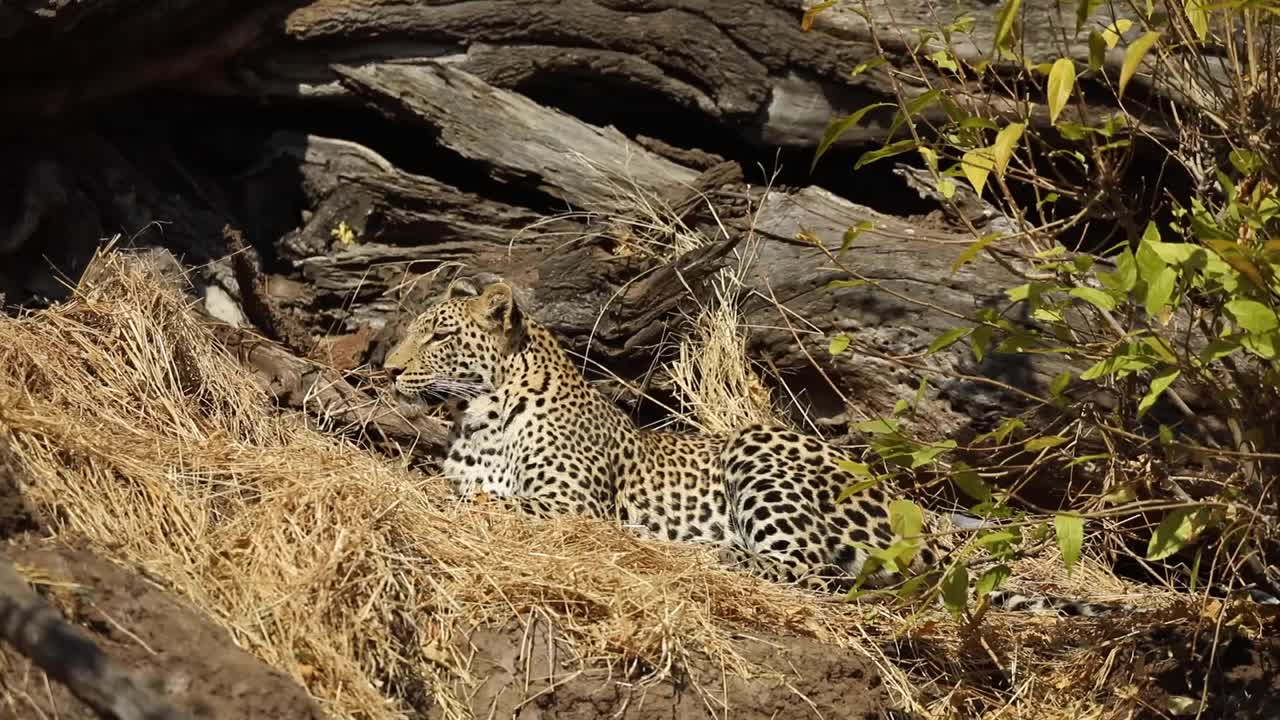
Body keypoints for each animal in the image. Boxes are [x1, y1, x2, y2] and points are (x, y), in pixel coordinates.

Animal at [383, 275, 1128, 617]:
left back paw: (704, 552)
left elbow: (490, 504)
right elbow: (461, 490)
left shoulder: (570, 503)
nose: (387, 369)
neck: (483, 415)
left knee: (814, 570)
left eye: (440, 334)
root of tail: (920, 521)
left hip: (759, 445)